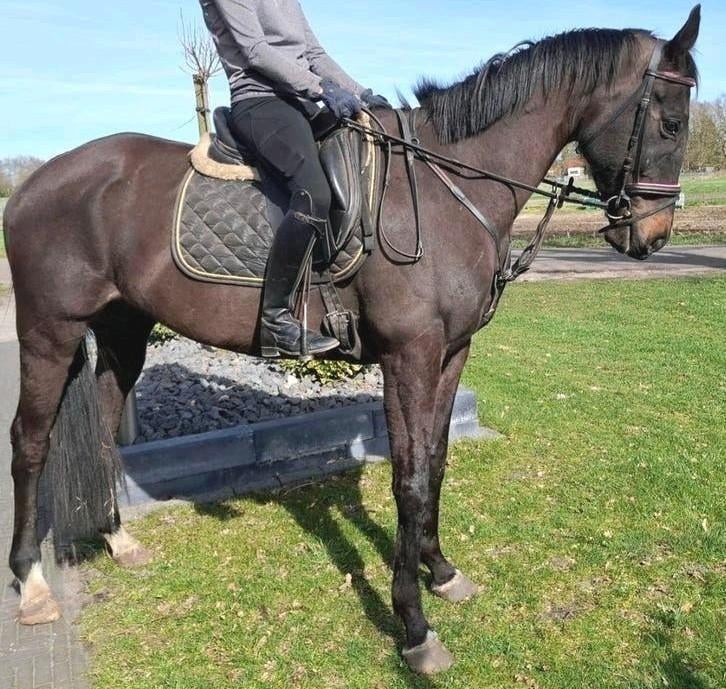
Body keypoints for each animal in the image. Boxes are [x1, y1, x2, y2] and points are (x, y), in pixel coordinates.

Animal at [3, 7, 700, 674]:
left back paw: (118, 541)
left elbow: (436, 462)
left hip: (124, 329)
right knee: (30, 442)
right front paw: (414, 626)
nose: (655, 235)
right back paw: (30, 584)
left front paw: (442, 572)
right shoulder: (408, 355)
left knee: (101, 427)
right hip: (48, 332)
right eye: (670, 123)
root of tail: (36, 183)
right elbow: (409, 478)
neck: (447, 190)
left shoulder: (452, 353)